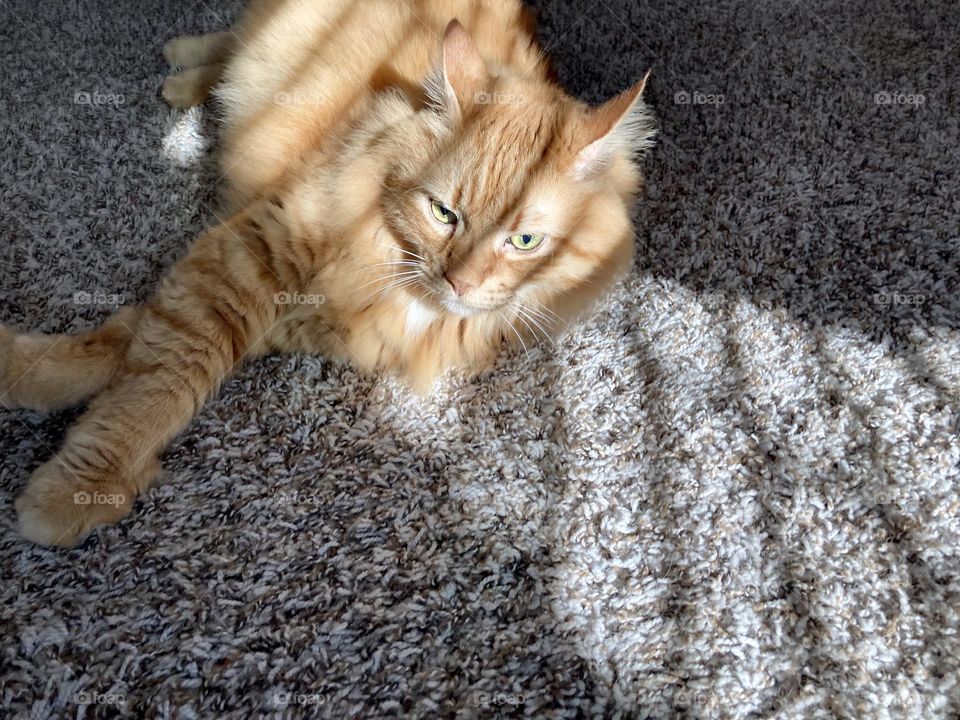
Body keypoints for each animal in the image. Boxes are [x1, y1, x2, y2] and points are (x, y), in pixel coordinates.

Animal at [0, 0, 656, 544]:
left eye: (524, 241)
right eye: (444, 213)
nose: (461, 283)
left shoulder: (279, 311)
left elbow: (132, 348)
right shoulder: (248, 260)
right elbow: (153, 378)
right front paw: (79, 483)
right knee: (230, 40)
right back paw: (183, 66)